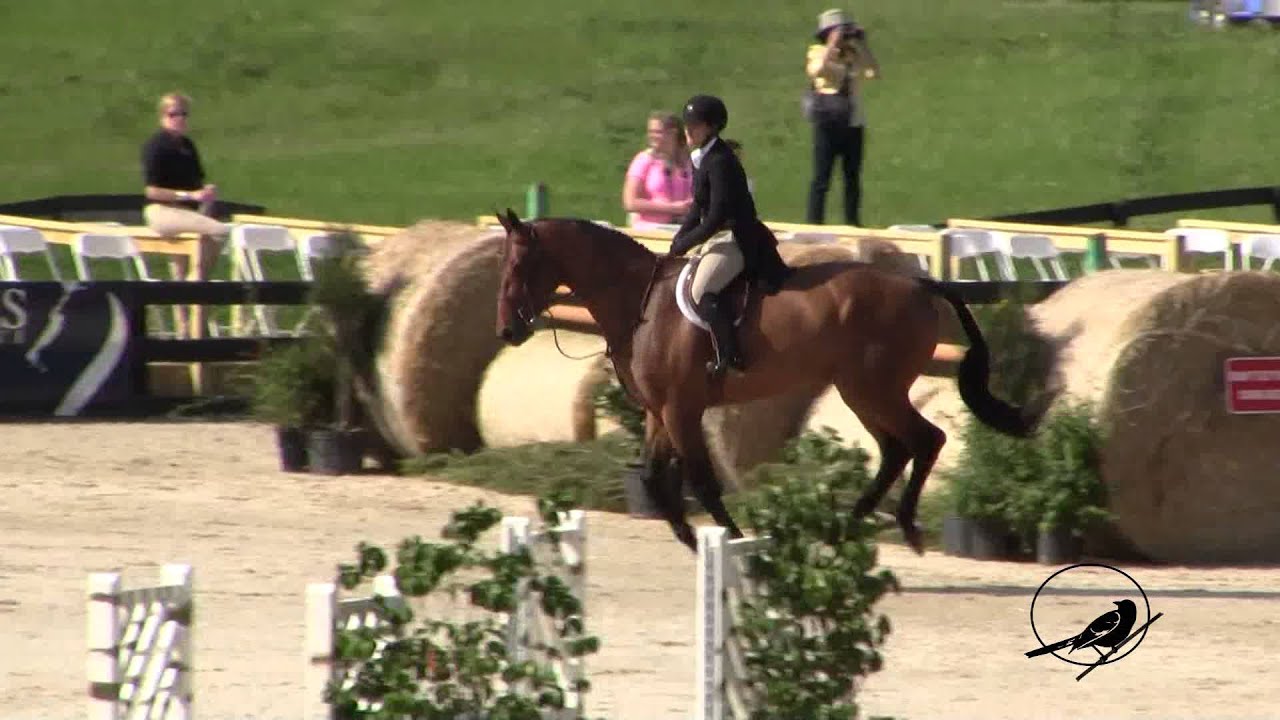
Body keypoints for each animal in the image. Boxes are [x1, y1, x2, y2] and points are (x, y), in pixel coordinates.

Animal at [492, 208, 1037, 554]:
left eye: (519, 264)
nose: (507, 331)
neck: (641, 302)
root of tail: (921, 283)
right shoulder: (658, 412)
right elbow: (653, 476)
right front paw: (690, 540)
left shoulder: (680, 410)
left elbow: (702, 481)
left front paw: (729, 540)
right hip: (860, 392)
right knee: (896, 450)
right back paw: (848, 527)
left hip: (873, 388)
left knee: (925, 440)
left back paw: (900, 526)